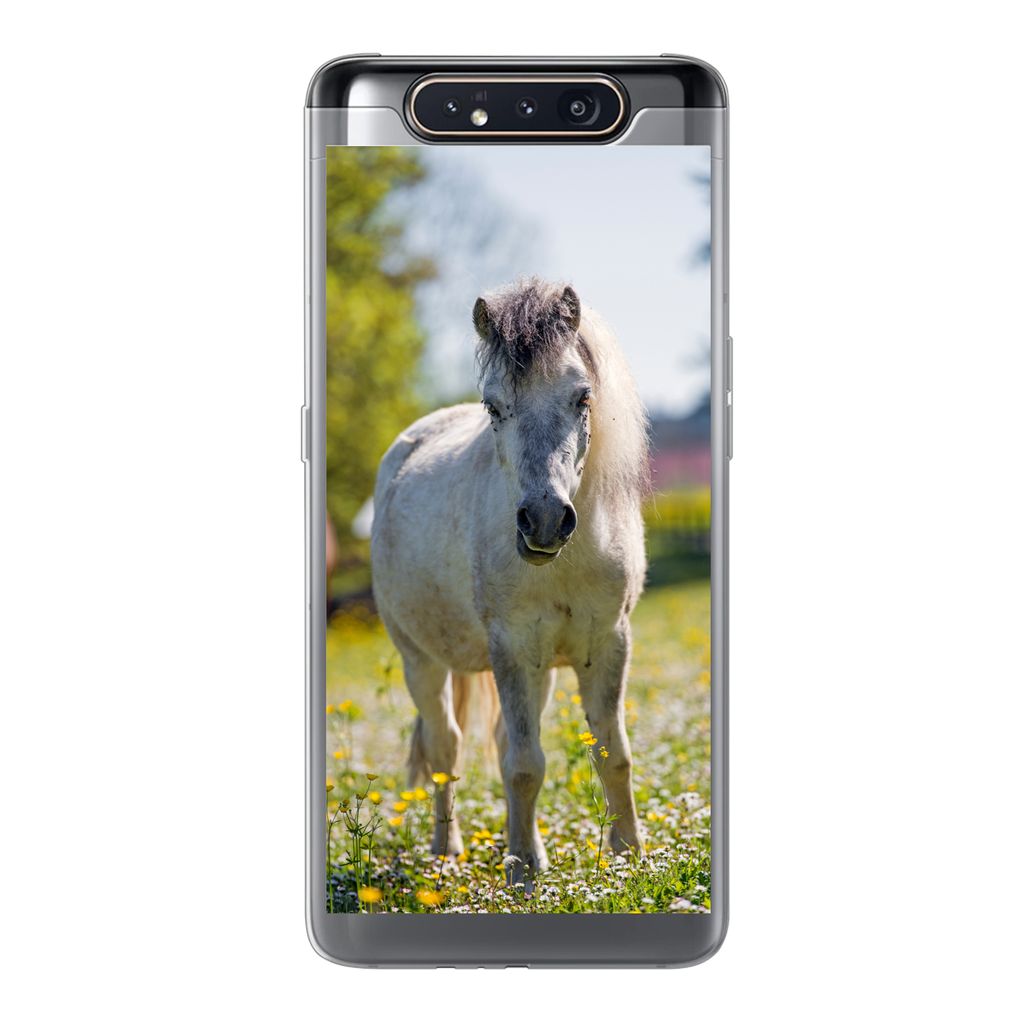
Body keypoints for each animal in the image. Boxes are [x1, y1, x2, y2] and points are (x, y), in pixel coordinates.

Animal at [370, 277, 649, 885]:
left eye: (583, 397)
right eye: (493, 406)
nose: (543, 521)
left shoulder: (608, 643)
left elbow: (613, 754)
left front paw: (630, 857)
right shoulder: (512, 649)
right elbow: (524, 765)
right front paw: (522, 869)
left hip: (540, 669)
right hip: (421, 662)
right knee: (445, 748)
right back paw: (446, 852)